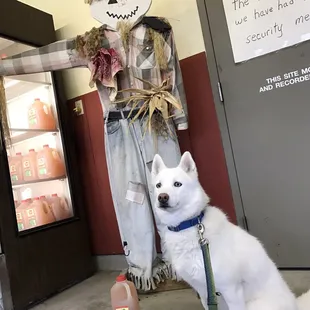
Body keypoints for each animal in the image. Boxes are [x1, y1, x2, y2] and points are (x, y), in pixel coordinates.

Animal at [151, 153, 310, 310]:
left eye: (177, 184)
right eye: (158, 185)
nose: (162, 197)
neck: (188, 224)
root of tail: (296, 305)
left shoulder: (231, 291)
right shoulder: (204, 293)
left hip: (254, 305)